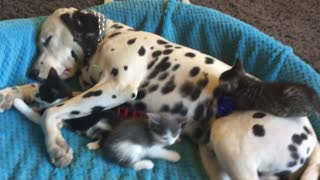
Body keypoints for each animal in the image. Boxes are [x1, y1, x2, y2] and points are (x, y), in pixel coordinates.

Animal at [0, 6, 318, 179]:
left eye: (47, 40)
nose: (32, 71)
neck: (107, 39)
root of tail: (312, 140)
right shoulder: (85, 89)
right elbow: (40, 94)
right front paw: (11, 92)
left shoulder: (116, 88)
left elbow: (52, 111)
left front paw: (55, 145)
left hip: (228, 137)